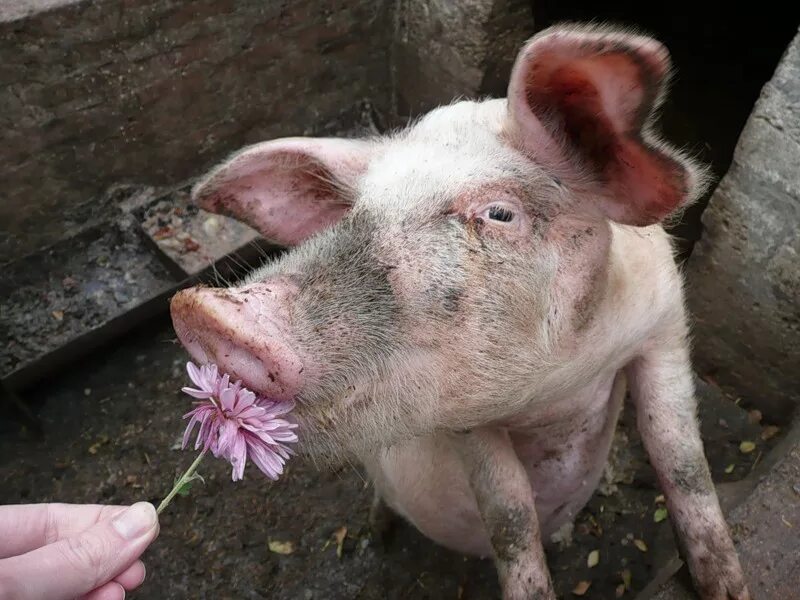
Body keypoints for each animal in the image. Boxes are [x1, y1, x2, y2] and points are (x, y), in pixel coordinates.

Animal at [169, 24, 752, 600]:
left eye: (499, 214)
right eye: (355, 214)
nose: (208, 315)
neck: (560, 387)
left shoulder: (664, 326)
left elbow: (681, 459)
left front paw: (728, 589)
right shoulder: (468, 418)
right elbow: (510, 517)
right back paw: (377, 532)